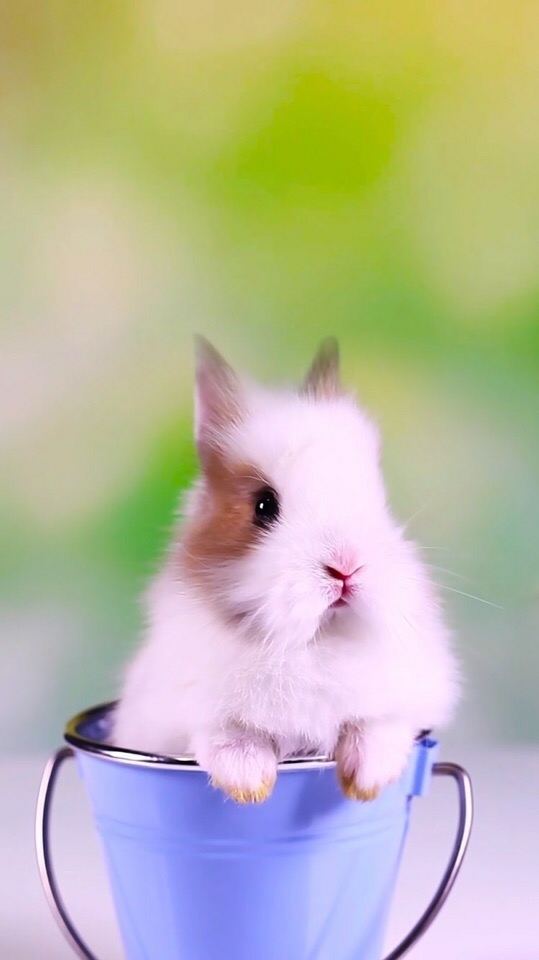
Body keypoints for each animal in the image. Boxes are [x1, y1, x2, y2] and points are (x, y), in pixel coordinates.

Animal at [112, 337, 459, 804]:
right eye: (264, 505)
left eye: (378, 500)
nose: (346, 567)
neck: (313, 643)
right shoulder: (180, 714)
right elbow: (221, 734)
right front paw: (249, 782)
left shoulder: (401, 700)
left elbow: (379, 724)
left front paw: (367, 780)